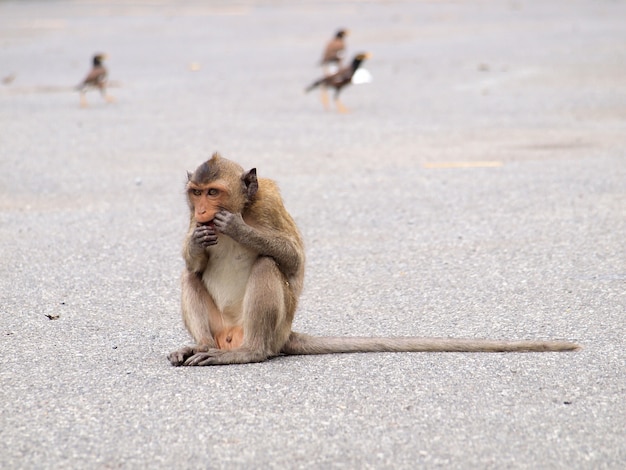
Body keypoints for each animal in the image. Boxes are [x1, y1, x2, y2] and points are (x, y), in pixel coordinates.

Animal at [167, 154, 580, 368]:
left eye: (213, 193)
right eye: (195, 193)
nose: (202, 211)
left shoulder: (268, 202)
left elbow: (293, 262)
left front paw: (236, 226)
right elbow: (194, 263)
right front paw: (198, 240)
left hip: (272, 328)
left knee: (266, 266)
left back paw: (250, 353)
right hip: (222, 332)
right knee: (189, 277)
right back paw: (198, 346)